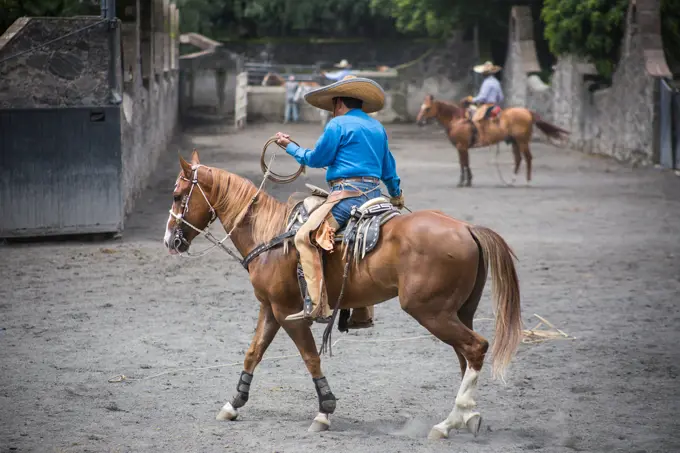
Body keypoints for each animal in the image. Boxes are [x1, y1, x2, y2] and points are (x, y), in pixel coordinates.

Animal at [162, 150, 524, 440]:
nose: (170, 241)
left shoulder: (288, 313)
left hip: (431, 312)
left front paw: (324, 411)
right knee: (466, 356)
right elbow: (253, 353)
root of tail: (467, 228)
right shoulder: (269, 309)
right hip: (459, 311)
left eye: (178, 195)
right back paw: (468, 416)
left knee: (475, 348)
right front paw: (233, 404)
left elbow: (310, 357)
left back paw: (447, 424)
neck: (271, 236)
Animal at [414, 94, 568, 186]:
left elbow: (464, 163)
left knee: (528, 158)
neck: (458, 120)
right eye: (422, 106)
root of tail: (527, 112)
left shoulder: (461, 146)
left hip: (522, 141)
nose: (418, 122)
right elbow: (464, 163)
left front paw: (463, 182)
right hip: (515, 142)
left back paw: (527, 182)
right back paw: (511, 181)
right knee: (518, 159)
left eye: (427, 108)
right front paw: (468, 180)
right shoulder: (462, 148)